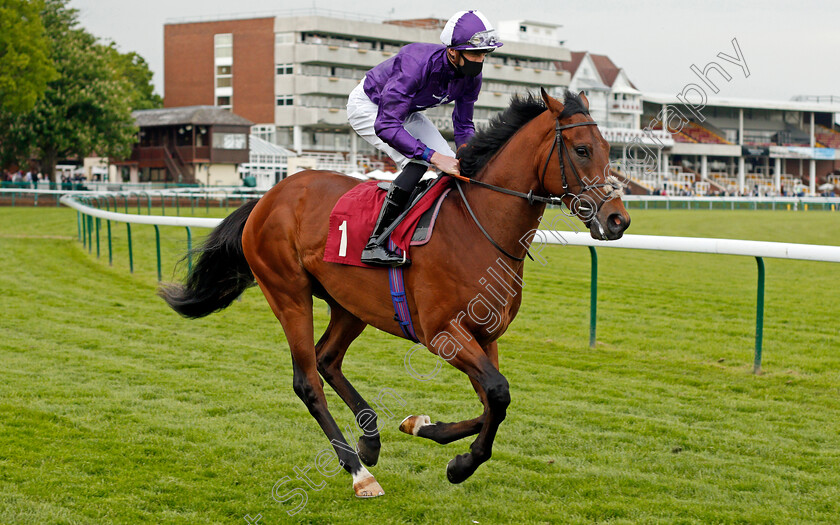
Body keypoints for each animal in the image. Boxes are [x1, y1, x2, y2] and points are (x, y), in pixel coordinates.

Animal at [158, 88, 632, 498]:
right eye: (582, 149)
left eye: (609, 148)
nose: (618, 220)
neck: (478, 227)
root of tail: (268, 197)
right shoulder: (442, 333)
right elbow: (498, 394)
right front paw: (461, 463)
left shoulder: (486, 335)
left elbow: (492, 401)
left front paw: (422, 427)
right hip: (288, 294)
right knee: (307, 380)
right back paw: (358, 472)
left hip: (349, 305)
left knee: (328, 360)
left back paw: (370, 440)